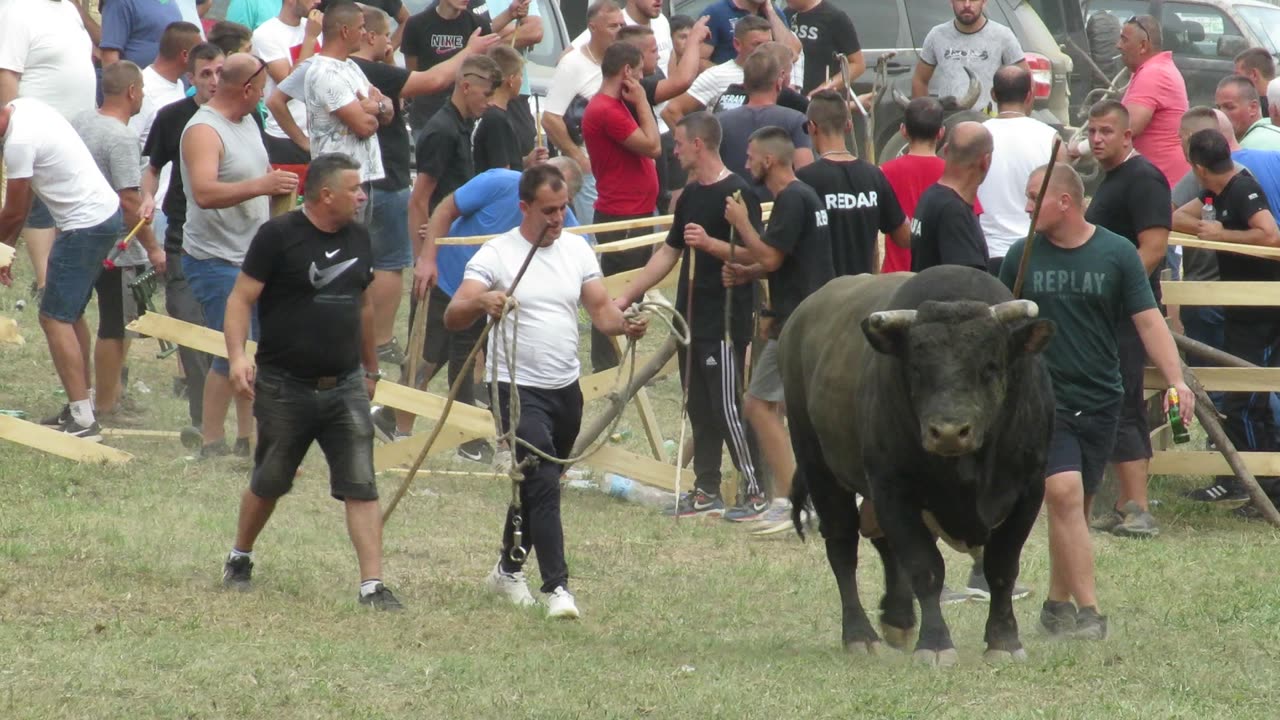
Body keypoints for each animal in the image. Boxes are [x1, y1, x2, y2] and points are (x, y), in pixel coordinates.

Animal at [778, 266, 1059, 666]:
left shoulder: (1028, 490)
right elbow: (925, 568)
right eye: (916, 367)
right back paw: (860, 635)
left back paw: (898, 618)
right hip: (820, 468)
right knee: (843, 547)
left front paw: (1004, 640)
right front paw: (936, 643)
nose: (949, 432)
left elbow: (1002, 568)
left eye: (990, 365)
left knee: (881, 541)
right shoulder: (893, 489)